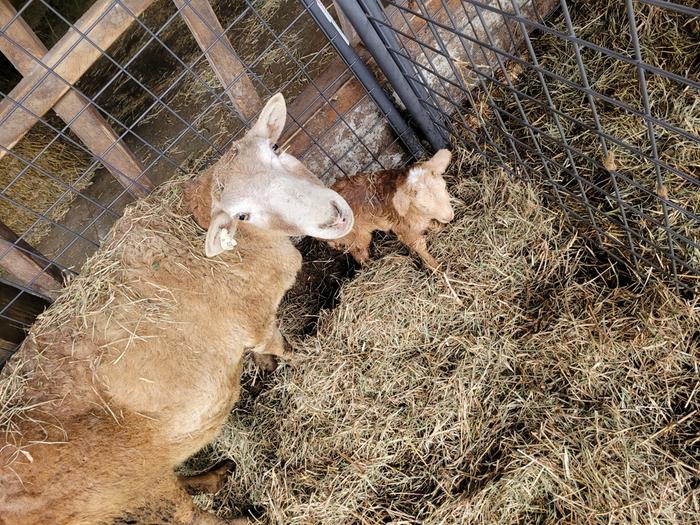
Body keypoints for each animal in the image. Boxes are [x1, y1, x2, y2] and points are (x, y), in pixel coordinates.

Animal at [0, 94, 352, 524]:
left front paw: (265, 368)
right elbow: (281, 346)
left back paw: (214, 475)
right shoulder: (256, 320)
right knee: (185, 515)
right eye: (242, 214)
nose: (332, 215)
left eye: (276, 148)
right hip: (123, 480)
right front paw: (306, 359)